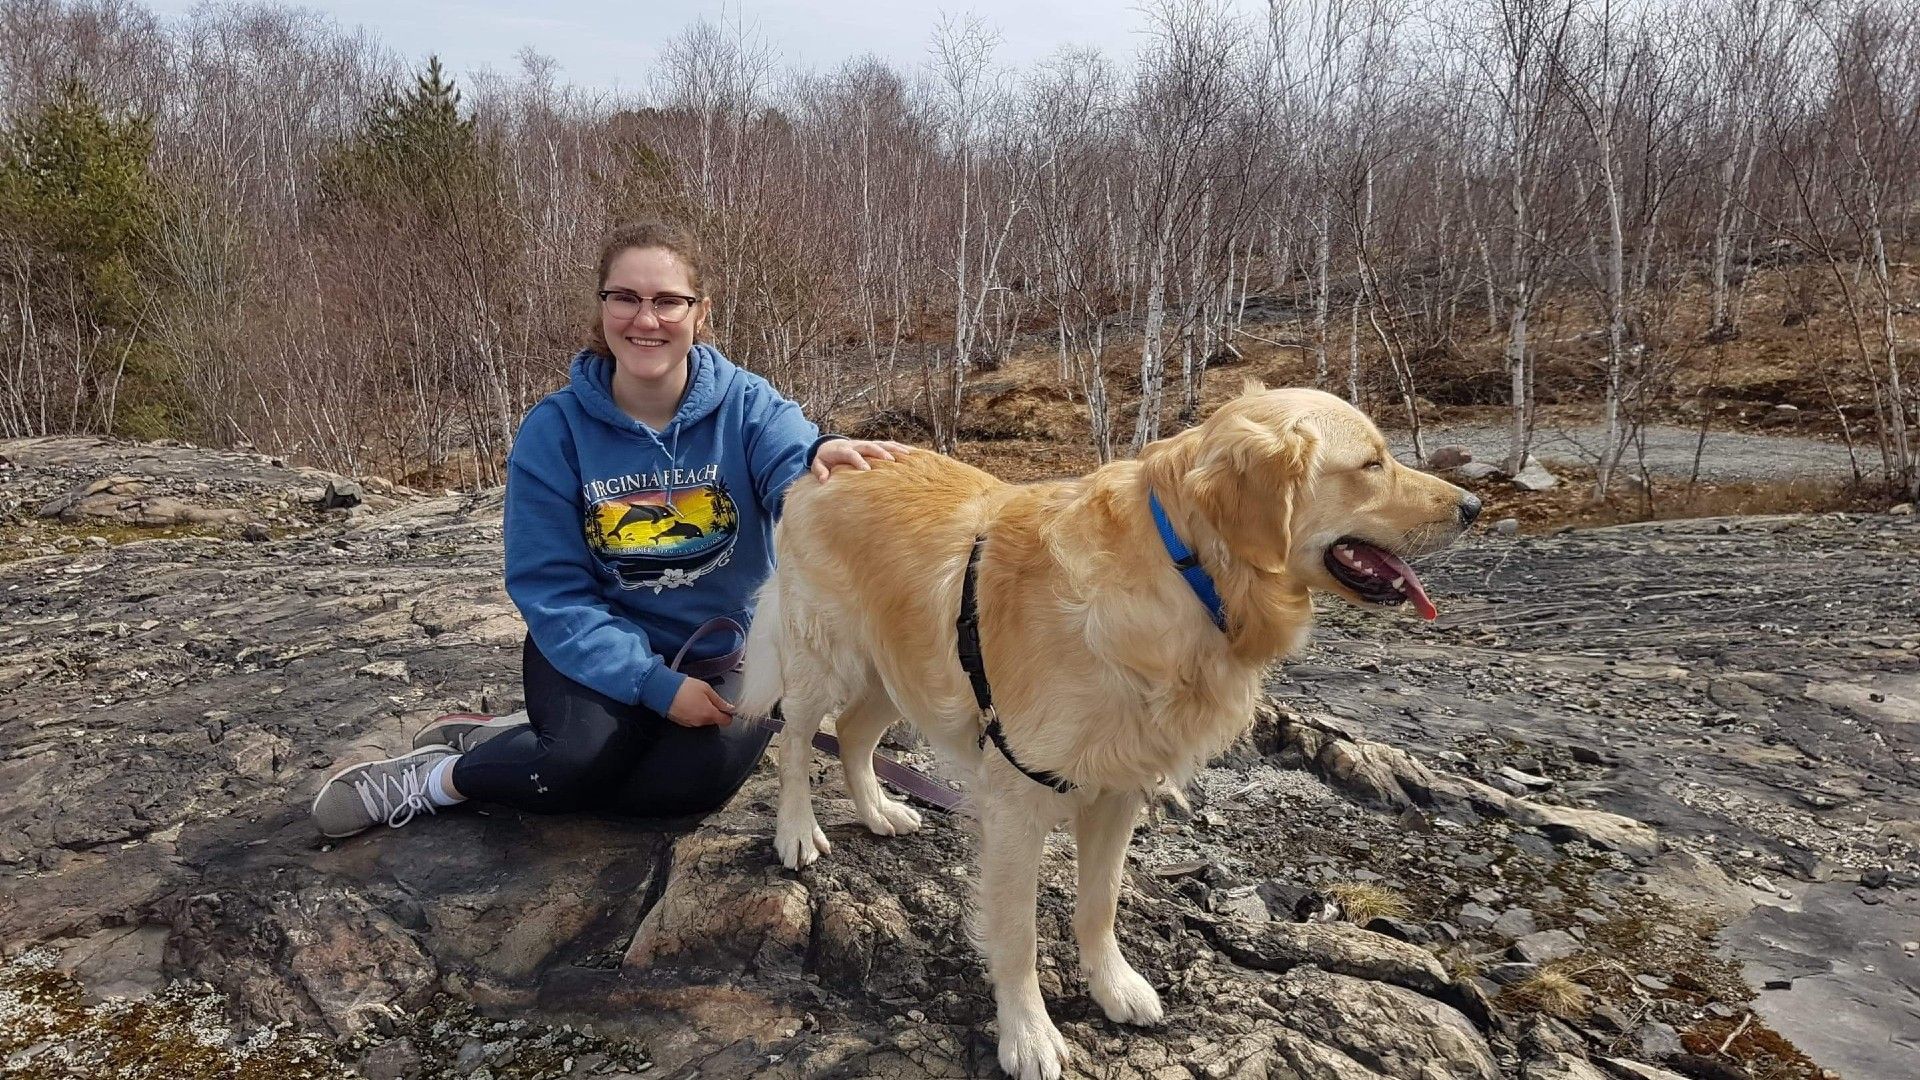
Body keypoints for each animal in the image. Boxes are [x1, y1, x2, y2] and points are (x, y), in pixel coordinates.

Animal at [729, 386, 1466, 1076]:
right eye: (1370, 464)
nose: (1470, 508)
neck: (1186, 576)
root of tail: (822, 465)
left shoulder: (1118, 790)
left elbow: (1100, 904)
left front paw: (1115, 987)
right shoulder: (1017, 797)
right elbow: (1018, 935)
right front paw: (1029, 1034)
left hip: (901, 672)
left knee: (854, 734)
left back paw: (880, 812)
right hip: (824, 657)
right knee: (796, 741)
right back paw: (797, 833)